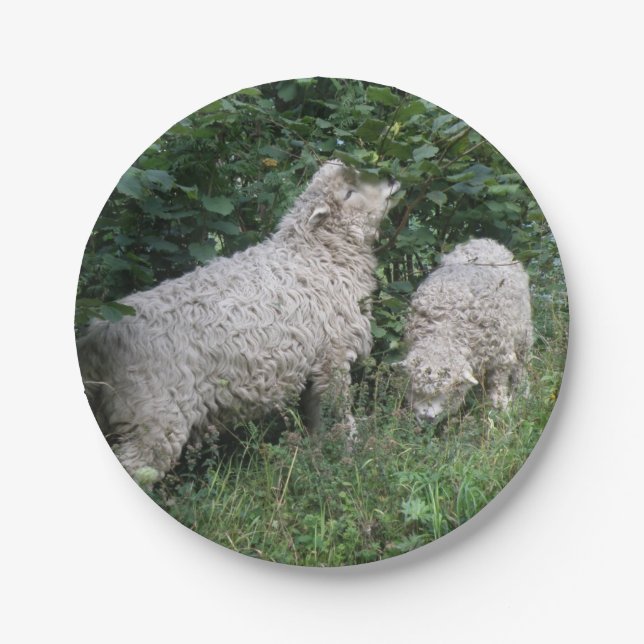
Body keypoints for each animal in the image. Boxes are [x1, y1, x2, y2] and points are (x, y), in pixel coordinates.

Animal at [77, 160, 400, 482]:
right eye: (349, 192)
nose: (391, 179)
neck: (318, 255)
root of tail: (97, 336)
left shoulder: (315, 362)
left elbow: (317, 413)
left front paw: (321, 451)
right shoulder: (333, 356)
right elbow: (338, 411)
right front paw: (350, 454)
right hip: (152, 415)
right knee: (138, 465)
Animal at [402, 238, 533, 423]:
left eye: (447, 390)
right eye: (416, 389)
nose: (426, 417)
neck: (444, 332)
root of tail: (484, 240)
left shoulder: (501, 357)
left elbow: (498, 386)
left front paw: (501, 410)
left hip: (523, 334)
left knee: (522, 364)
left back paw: (522, 392)